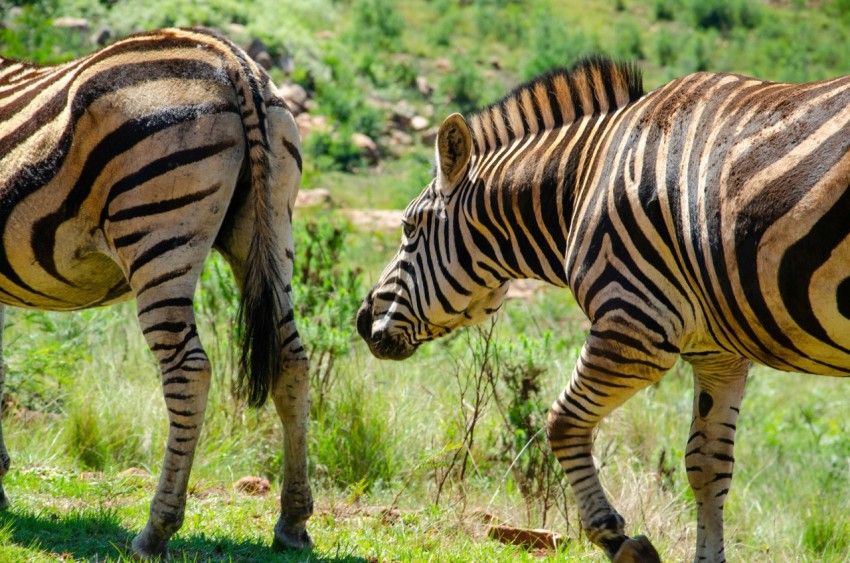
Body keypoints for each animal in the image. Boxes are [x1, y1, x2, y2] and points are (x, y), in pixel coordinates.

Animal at [0, 27, 312, 558]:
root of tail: (232, 62)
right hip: (271, 225)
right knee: (292, 361)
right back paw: (292, 524)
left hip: (156, 236)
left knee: (188, 370)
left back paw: (155, 531)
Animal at [357, 56, 850, 562]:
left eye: (409, 227)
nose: (360, 320)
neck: (583, 183)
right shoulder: (718, 352)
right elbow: (706, 462)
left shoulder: (633, 324)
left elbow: (561, 422)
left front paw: (617, 538)